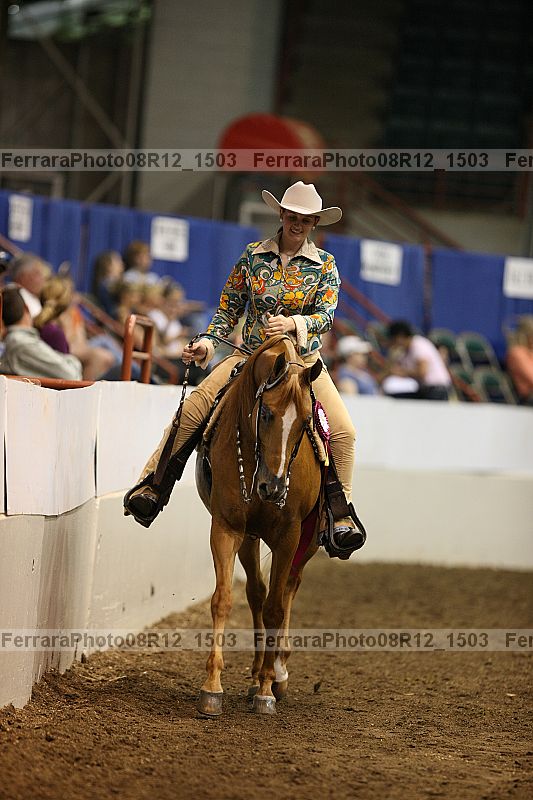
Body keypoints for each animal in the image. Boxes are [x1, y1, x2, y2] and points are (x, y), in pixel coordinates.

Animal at [195, 334, 323, 715]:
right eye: (266, 413)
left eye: (305, 422)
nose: (274, 488)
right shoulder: (227, 527)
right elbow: (224, 599)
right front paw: (213, 688)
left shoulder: (289, 536)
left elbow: (276, 608)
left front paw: (267, 690)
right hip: (250, 538)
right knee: (256, 592)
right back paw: (255, 675)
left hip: (308, 541)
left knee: (289, 587)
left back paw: (277, 672)